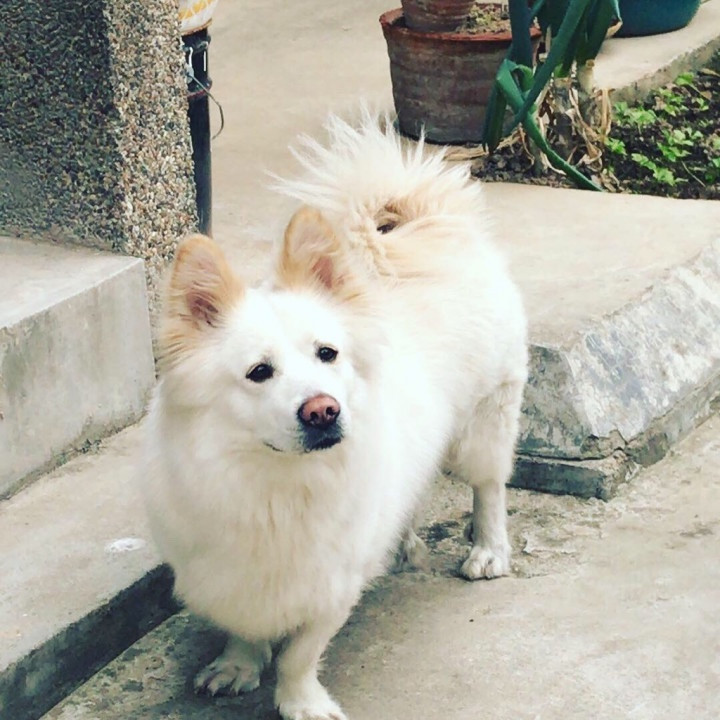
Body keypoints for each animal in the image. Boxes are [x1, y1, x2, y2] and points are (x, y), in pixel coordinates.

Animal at [141, 115, 527, 720]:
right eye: (259, 372)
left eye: (328, 354)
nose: (324, 410)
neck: (276, 485)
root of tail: (417, 231)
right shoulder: (227, 575)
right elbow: (243, 626)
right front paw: (238, 664)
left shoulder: (333, 583)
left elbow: (302, 651)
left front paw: (300, 701)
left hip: (484, 425)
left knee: (489, 486)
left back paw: (488, 550)